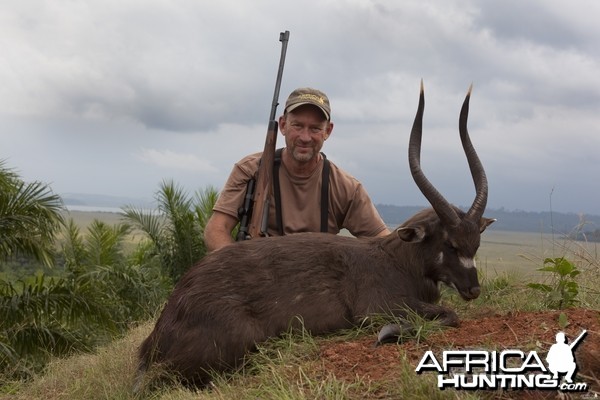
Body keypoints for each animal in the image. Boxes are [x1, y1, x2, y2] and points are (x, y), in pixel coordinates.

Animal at [134, 83, 494, 390]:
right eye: (450, 243)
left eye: (475, 243)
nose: (473, 289)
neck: (397, 258)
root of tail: (155, 340)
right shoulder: (378, 308)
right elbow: (448, 315)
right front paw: (388, 333)